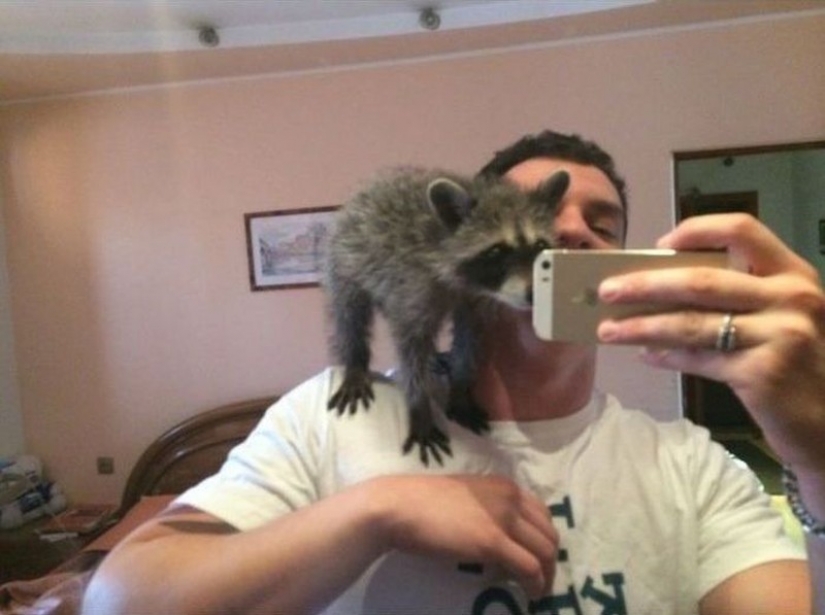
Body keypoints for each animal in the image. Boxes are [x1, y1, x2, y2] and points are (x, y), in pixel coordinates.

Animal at [324, 166, 569, 465]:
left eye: (540, 246)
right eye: (497, 251)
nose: (536, 294)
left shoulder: (476, 301)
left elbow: (469, 338)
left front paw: (460, 387)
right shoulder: (409, 282)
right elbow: (410, 344)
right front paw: (419, 405)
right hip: (346, 255)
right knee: (349, 311)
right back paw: (355, 360)